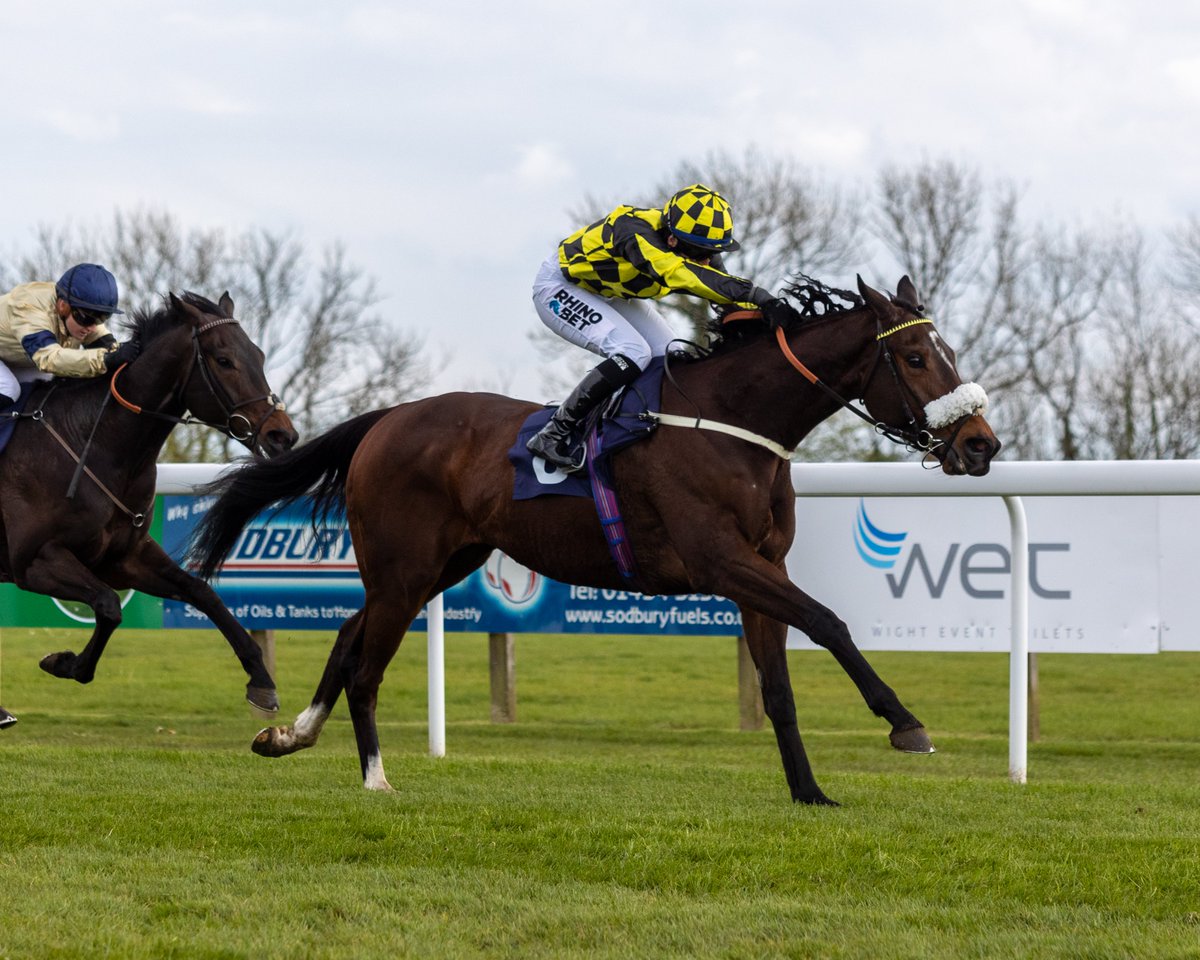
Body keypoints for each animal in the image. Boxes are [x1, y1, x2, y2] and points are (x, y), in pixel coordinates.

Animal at [0, 292, 297, 720]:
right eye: (224, 359)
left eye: (257, 354)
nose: (281, 435)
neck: (96, 444)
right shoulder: (35, 561)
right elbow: (109, 606)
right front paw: (62, 662)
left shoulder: (124, 558)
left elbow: (201, 591)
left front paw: (261, 680)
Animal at [192, 276, 998, 801]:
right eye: (917, 358)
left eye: (949, 353)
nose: (980, 444)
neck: (735, 423)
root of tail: (389, 417)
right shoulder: (722, 562)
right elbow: (830, 622)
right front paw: (906, 724)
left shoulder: (760, 566)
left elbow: (779, 690)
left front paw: (810, 794)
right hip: (405, 566)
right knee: (366, 666)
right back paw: (375, 778)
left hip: (435, 565)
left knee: (347, 635)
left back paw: (290, 734)